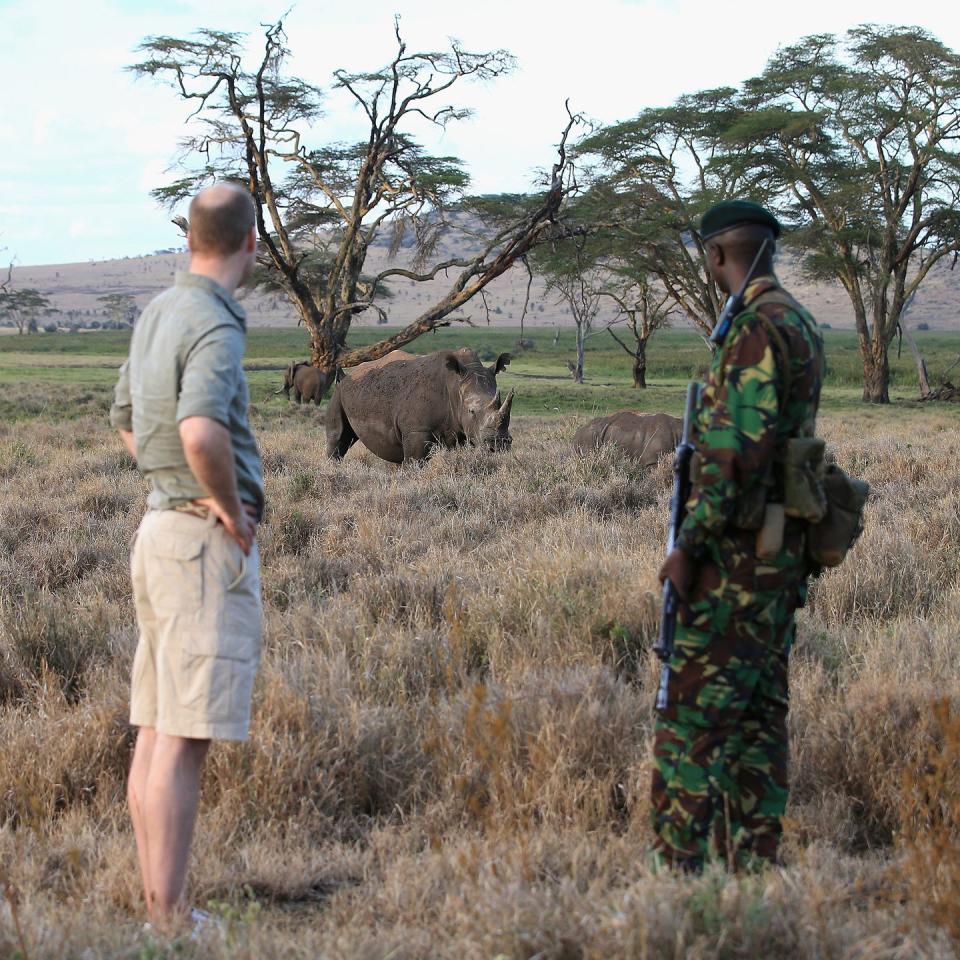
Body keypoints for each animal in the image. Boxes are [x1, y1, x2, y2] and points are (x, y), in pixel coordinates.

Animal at [324, 348, 516, 464]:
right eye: (471, 411)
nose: (498, 446)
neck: (454, 384)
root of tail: (346, 376)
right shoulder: (417, 430)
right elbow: (416, 461)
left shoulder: (460, 431)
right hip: (339, 392)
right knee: (338, 438)